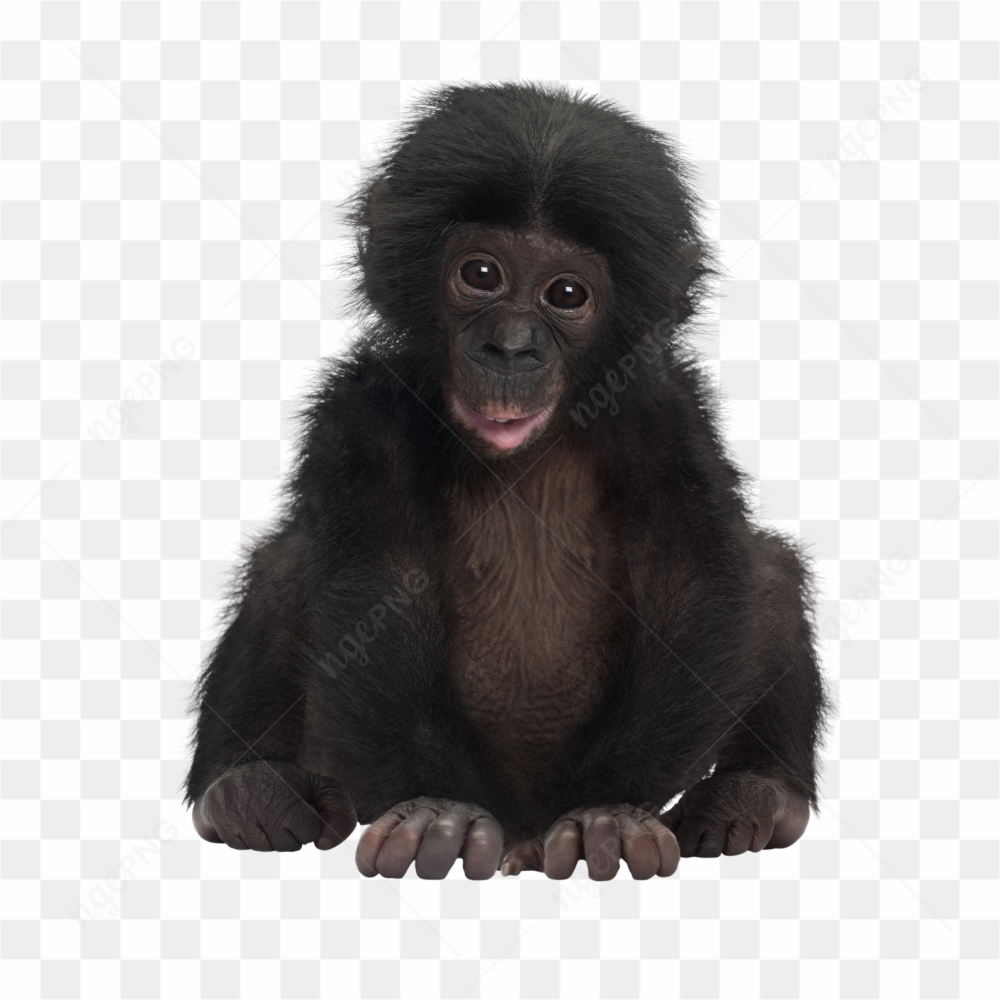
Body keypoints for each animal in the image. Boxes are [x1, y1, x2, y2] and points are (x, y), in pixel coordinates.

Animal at [185, 82, 828, 881]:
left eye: (567, 293)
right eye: (481, 275)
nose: (512, 346)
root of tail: (525, 826)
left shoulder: (667, 411)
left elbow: (691, 583)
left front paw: (609, 814)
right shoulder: (359, 411)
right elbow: (377, 590)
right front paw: (439, 811)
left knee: (768, 569)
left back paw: (756, 796)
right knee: (284, 565)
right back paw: (246, 791)